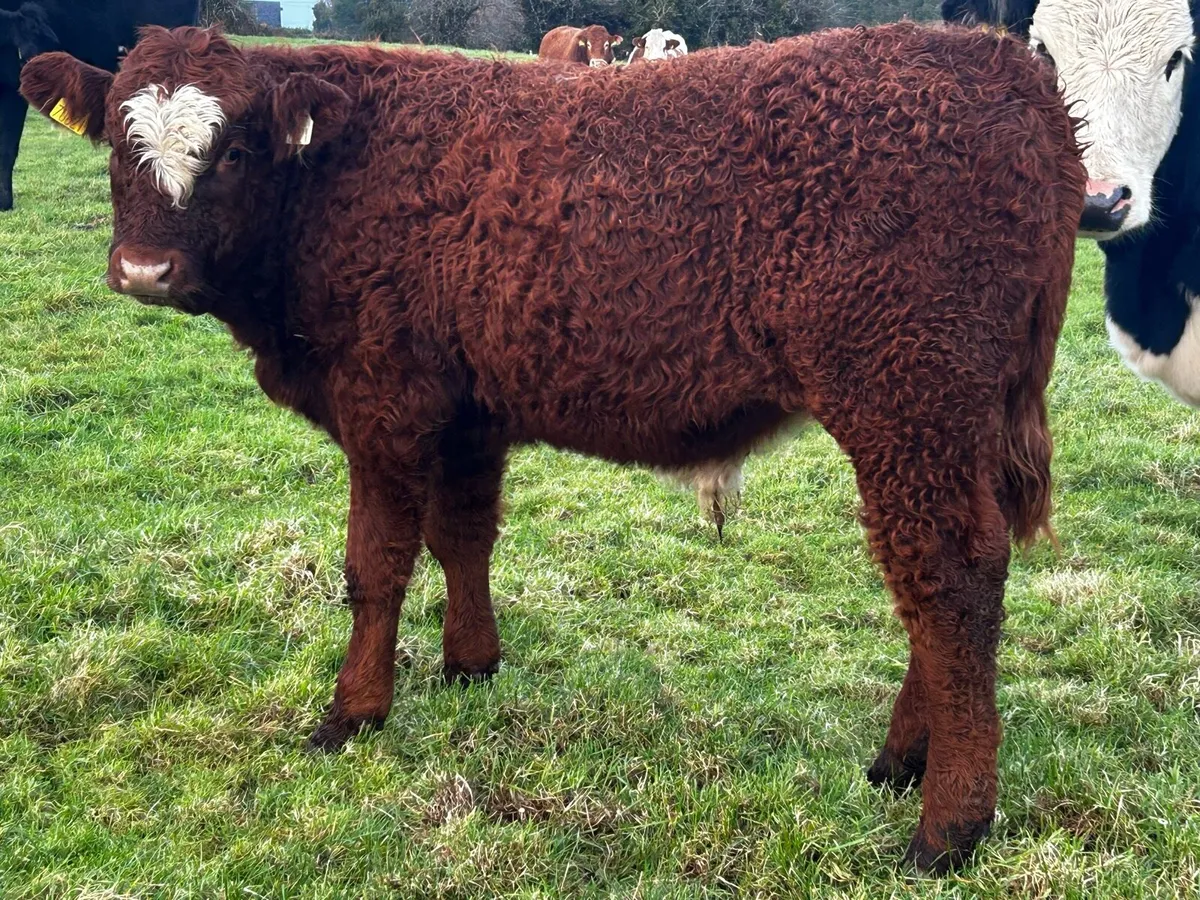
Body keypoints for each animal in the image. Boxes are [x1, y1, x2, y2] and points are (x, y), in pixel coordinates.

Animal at [20, 24, 1084, 872]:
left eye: (234, 149)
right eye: (116, 140)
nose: (146, 270)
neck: (332, 187)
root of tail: (1000, 62)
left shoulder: (382, 401)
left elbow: (375, 565)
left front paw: (352, 713)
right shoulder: (464, 412)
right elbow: (462, 538)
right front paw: (469, 667)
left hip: (906, 398)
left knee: (948, 578)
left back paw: (947, 827)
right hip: (952, 418)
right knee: (950, 582)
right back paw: (901, 764)